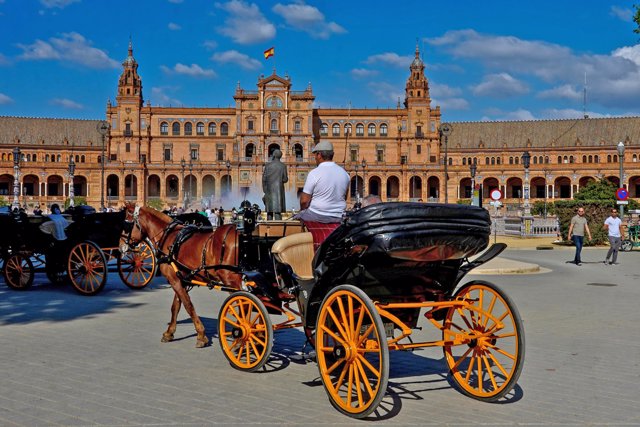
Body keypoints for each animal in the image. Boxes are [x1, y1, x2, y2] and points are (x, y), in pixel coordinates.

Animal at [125, 204, 242, 348]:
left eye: (128, 223)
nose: (126, 243)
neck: (167, 236)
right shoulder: (180, 280)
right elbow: (175, 306)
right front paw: (169, 332)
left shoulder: (174, 280)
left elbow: (188, 305)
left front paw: (201, 335)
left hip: (230, 279)